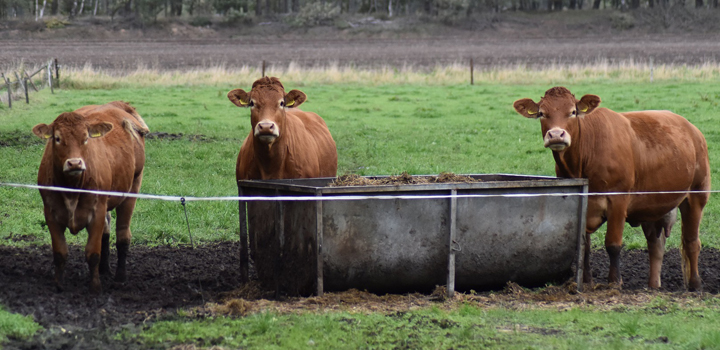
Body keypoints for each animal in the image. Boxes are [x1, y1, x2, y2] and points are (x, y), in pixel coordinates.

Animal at [32, 101, 148, 292]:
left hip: (133, 188)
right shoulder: (50, 213)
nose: (74, 163)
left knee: (123, 234)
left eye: (86, 138)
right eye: (57, 138)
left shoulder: (97, 212)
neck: (71, 188)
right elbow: (60, 252)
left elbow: (93, 252)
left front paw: (95, 286)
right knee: (106, 232)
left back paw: (120, 277)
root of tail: (116, 104)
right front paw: (59, 284)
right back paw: (104, 269)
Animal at [516, 87, 712, 290]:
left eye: (573, 111)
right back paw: (652, 286)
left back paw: (695, 284)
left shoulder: (618, 200)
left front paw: (614, 282)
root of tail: (692, 129)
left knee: (691, 241)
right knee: (656, 245)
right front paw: (587, 281)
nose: (556, 135)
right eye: (541, 113)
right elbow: (584, 246)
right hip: (651, 205)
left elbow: (613, 244)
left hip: (696, 195)